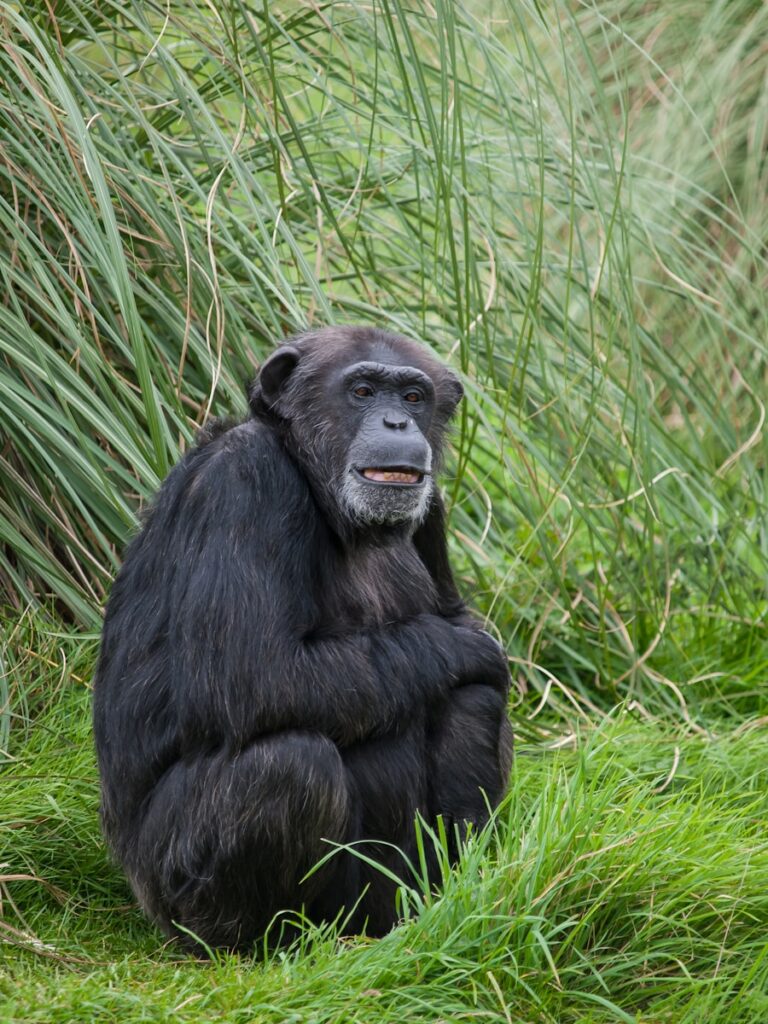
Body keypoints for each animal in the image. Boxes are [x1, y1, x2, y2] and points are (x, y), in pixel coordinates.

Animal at [91, 323, 512, 946]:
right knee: (291, 765)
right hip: (170, 892)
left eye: (414, 397)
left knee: (472, 700)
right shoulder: (244, 484)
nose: (397, 422)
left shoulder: (432, 507)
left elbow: (455, 618)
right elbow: (258, 673)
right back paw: (264, 942)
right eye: (362, 391)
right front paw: (476, 648)